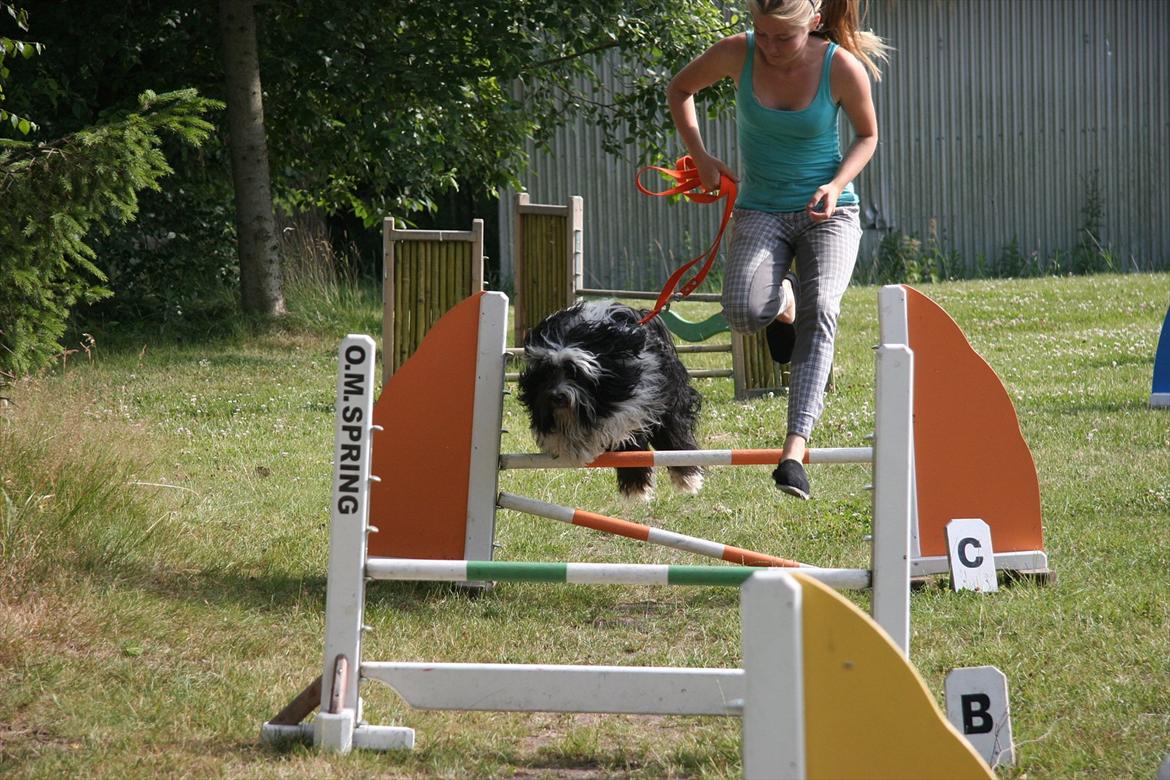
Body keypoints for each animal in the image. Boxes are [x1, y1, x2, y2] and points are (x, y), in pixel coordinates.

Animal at [521, 301, 702, 500]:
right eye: (547, 373)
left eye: (575, 373)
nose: (557, 397)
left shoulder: (634, 399)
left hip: (669, 399)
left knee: (673, 433)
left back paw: (687, 478)